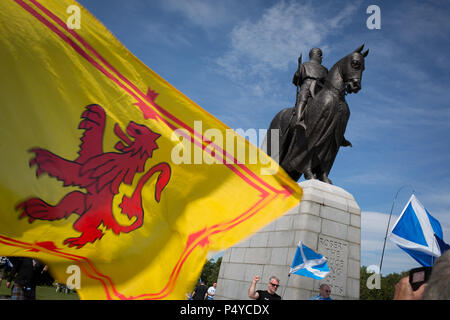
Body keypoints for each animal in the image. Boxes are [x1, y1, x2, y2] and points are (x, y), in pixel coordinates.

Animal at [16, 105, 170, 250]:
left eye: (138, 131)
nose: (131, 123)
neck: (126, 156)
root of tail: (107, 214)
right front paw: (97, 116)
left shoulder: (90, 173)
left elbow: (70, 170)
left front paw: (46, 159)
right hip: (80, 201)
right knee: (65, 206)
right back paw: (38, 209)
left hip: (86, 218)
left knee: (92, 231)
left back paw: (77, 241)